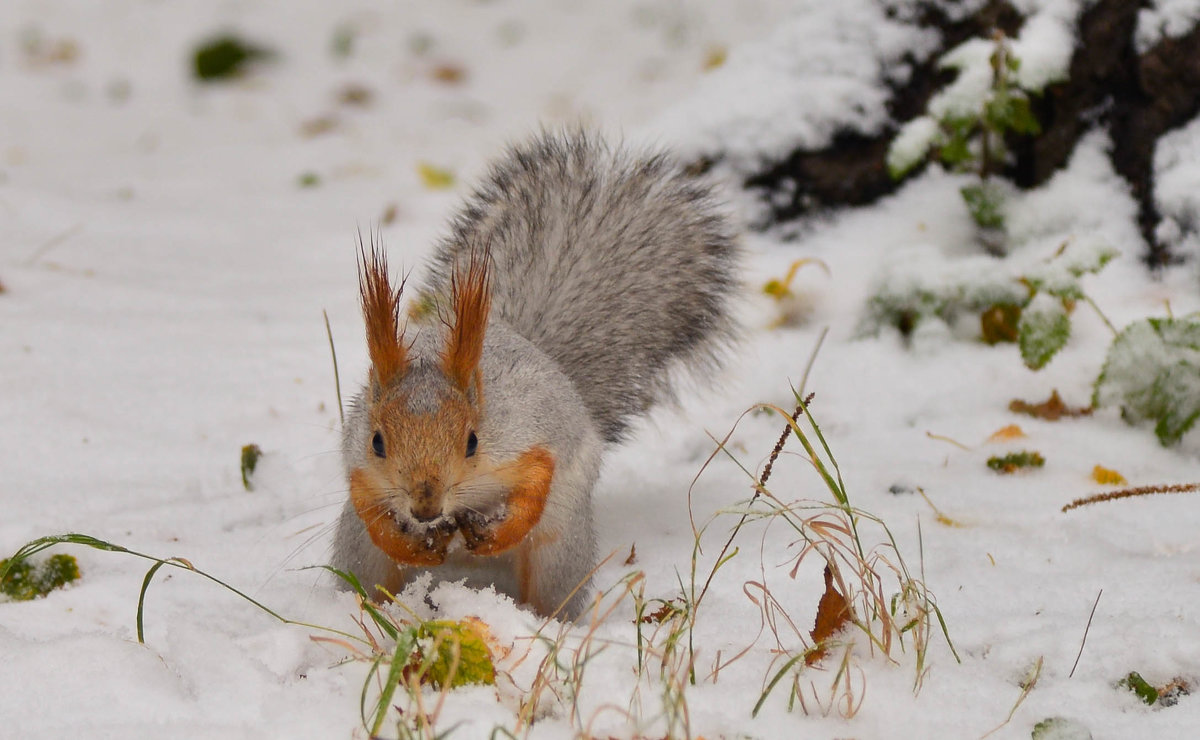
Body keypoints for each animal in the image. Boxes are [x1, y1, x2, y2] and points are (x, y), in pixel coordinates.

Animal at [331, 128, 739, 618]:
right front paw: (409, 543)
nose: (425, 508)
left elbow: (535, 485)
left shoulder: (534, 429)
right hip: (359, 554)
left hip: (558, 550)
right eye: (378, 442)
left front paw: (495, 535)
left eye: (472, 441)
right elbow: (367, 502)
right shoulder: (357, 460)